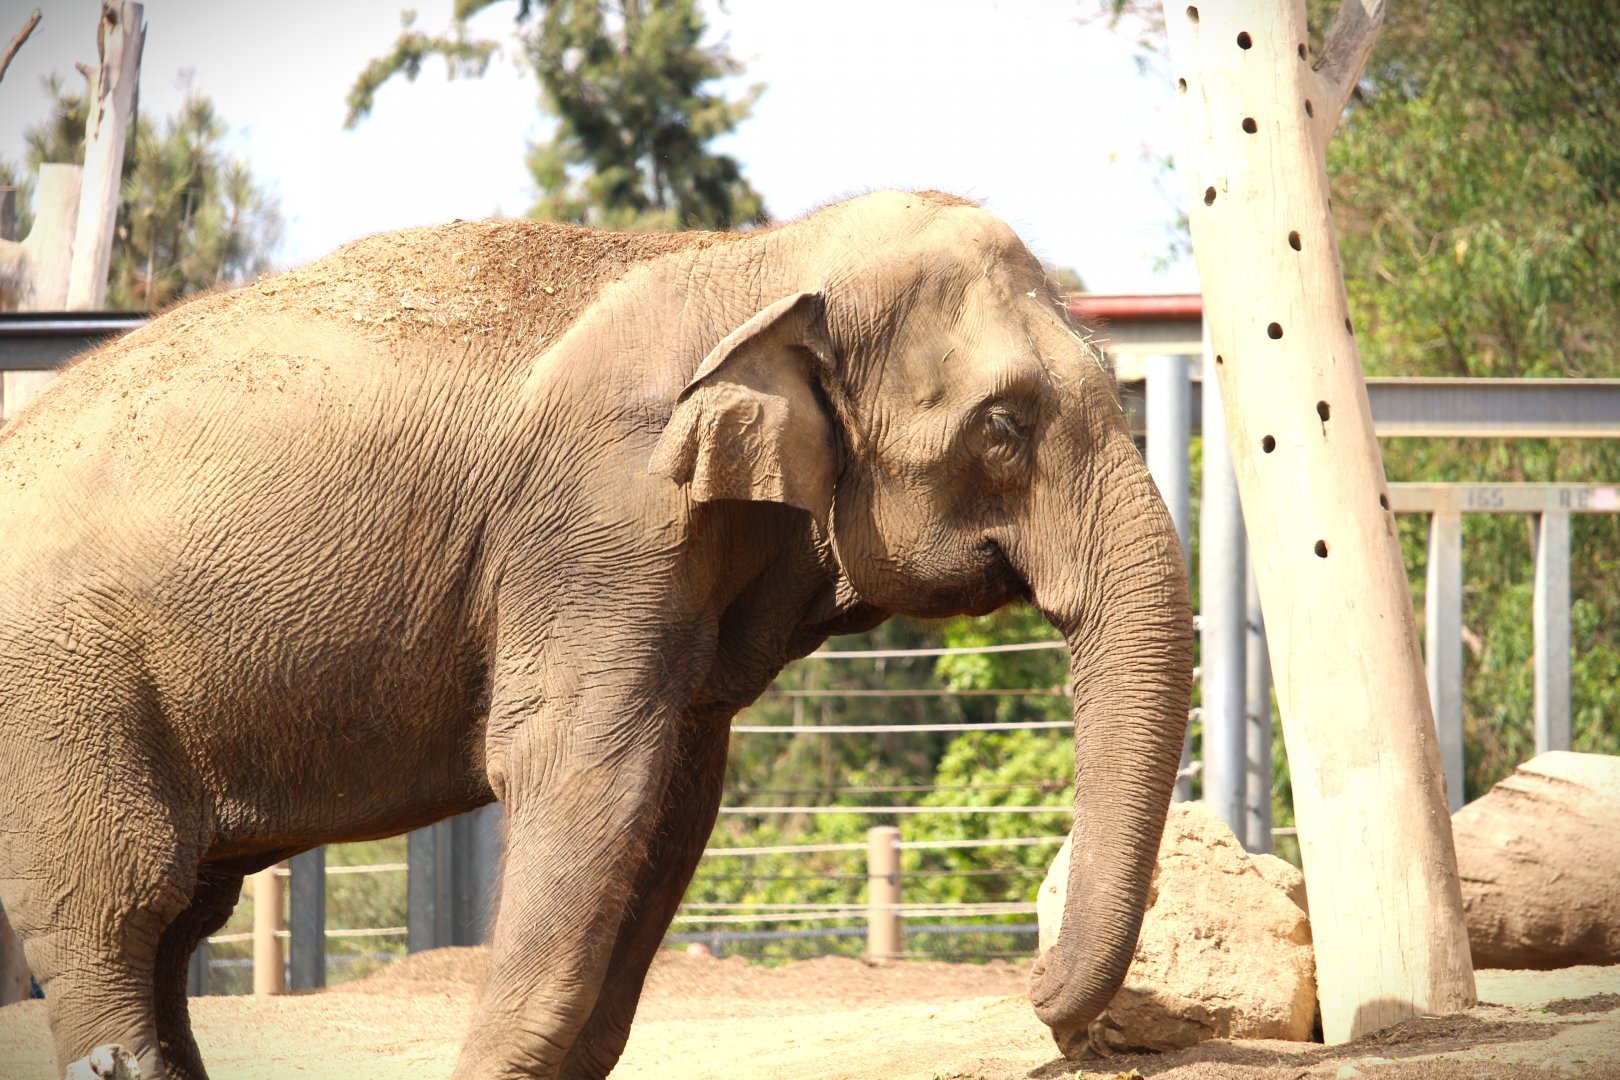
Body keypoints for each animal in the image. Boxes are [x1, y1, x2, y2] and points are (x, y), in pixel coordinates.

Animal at [0, 190, 1193, 1079]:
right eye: (1004, 426)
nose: (1039, 996)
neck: (751, 261)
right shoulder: (599, 521)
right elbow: (579, 766)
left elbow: (675, 795)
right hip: (64, 695)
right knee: (115, 911)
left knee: (173, 927)